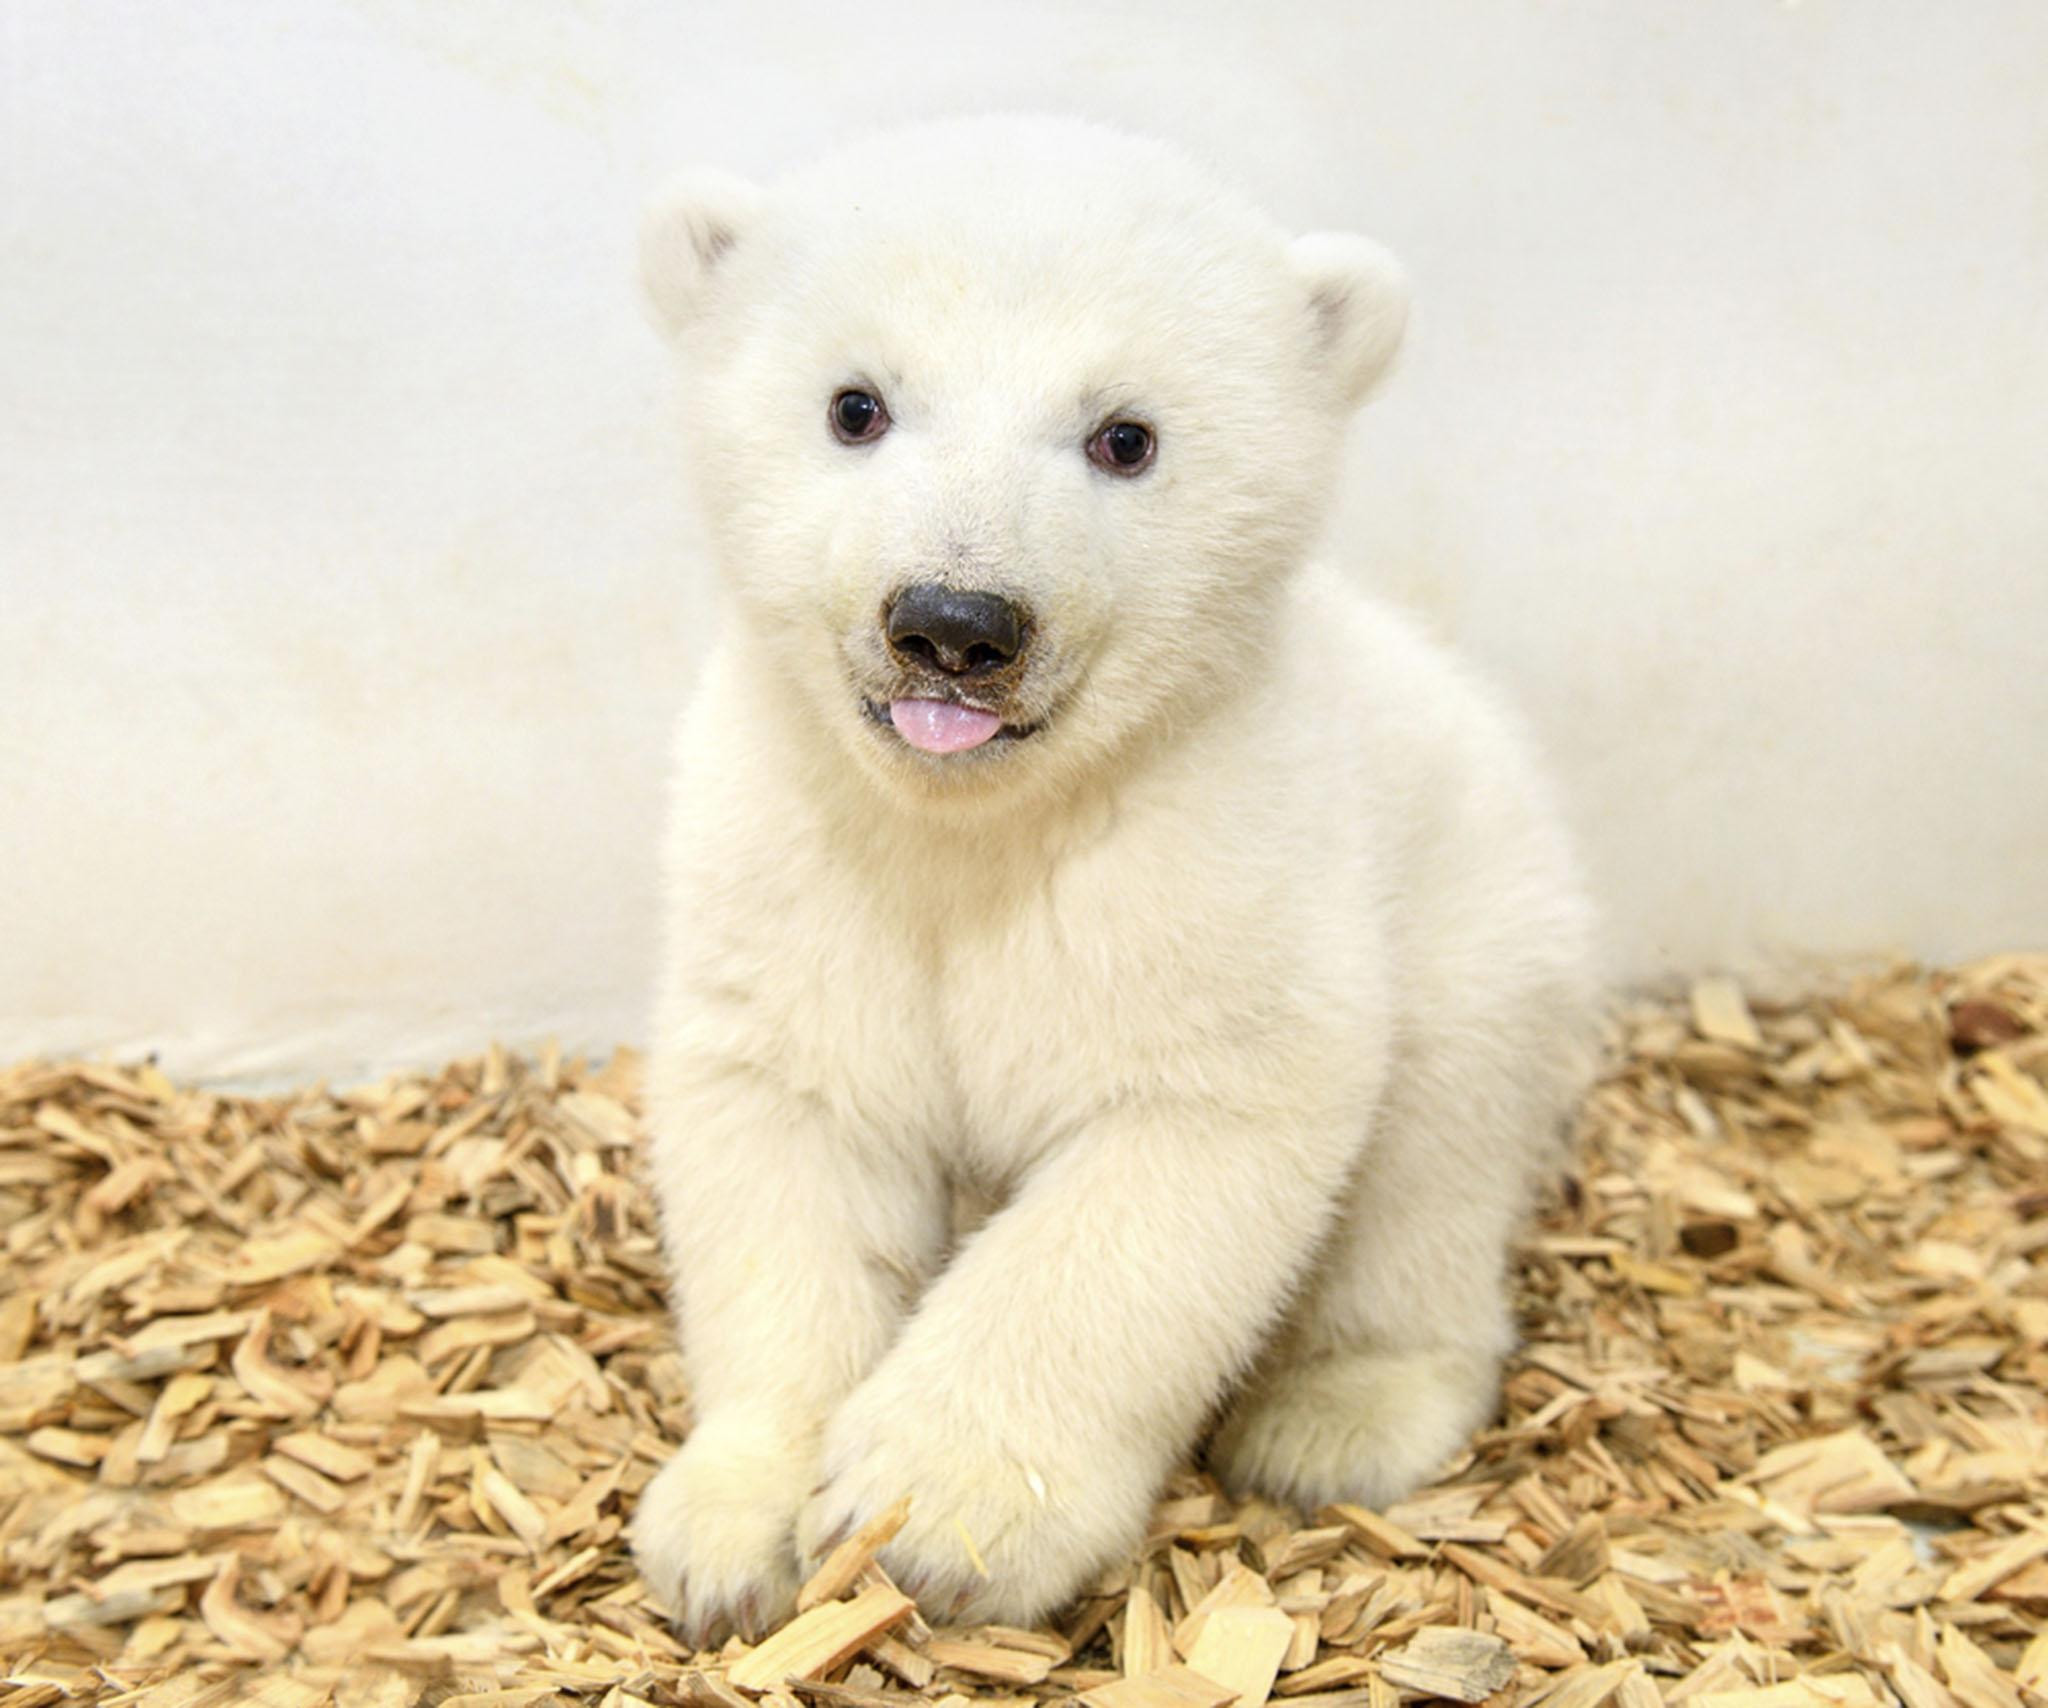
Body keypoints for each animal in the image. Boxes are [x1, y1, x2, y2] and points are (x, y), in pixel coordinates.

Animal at [628, 114, 1596, 1642]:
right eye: (855, 405)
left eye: (1124, 435)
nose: (954, 624)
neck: (973, 823)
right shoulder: (794, 853)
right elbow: (795, 1123)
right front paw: (735, 1528)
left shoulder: (1215, 856)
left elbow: (1174, 1150)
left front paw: (934, 1516)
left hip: (1482, 920)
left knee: (1432, 1168)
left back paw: (1335, 1415)